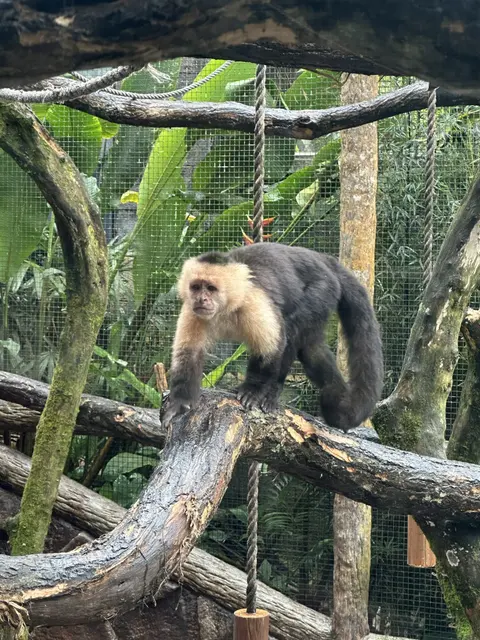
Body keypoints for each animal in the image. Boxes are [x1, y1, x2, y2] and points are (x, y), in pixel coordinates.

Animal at [162, 243, 383, 433]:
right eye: (196, 287)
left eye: (211, 288)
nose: (201, 299)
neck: (226, 307)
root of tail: (321, 258)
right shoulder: (192, 311)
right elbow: (188, 354)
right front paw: (180, 402)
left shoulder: (253, 300)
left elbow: (270, 347)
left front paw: (253, 390)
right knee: (312, 349)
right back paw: (335, 390)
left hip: (323, 289)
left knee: (293, 330)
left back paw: (273, 392)